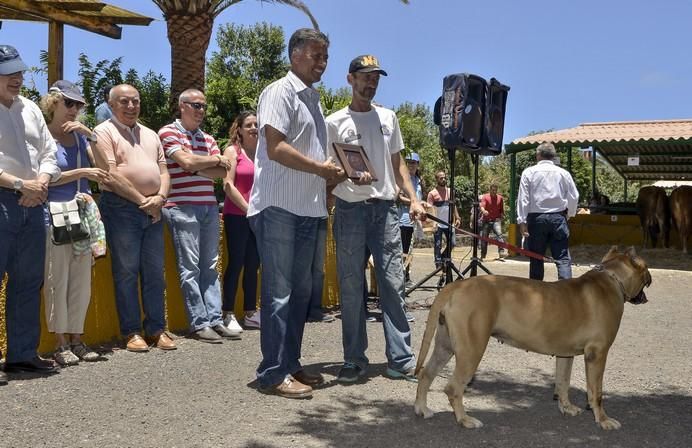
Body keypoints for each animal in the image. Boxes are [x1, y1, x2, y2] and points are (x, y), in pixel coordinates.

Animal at [414, 245, 652, 430]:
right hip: (471, 349)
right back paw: (465, 420)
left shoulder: (565, 355)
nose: (646, 293)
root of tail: (456, 285)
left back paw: (422, 409)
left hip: (445, 345)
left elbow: (562, 382)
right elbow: (597, 392)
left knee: (426, 374)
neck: (612, 278)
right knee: (453, 387)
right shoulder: (597, 354)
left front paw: (566, 407)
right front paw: (603, 420)